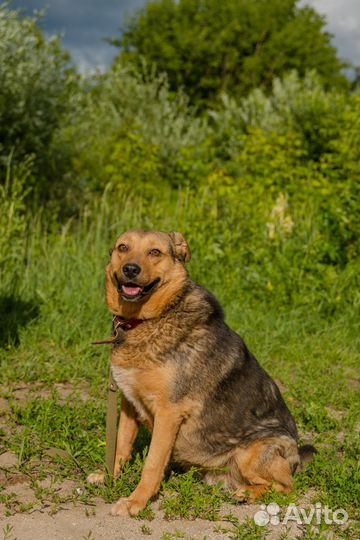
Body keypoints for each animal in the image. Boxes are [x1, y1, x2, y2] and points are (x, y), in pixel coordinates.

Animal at [87, 228, 312, 516]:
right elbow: (120, 447)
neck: (150, 319)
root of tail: (296, 459)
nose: (130, 269)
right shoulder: (129, 404)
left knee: (286, 487)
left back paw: (246, 493)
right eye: (122, 247)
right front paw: (109, 478)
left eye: (155, 252)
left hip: (251, 453)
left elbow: (152, 464)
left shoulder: (169, 412)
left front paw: (136, 502)